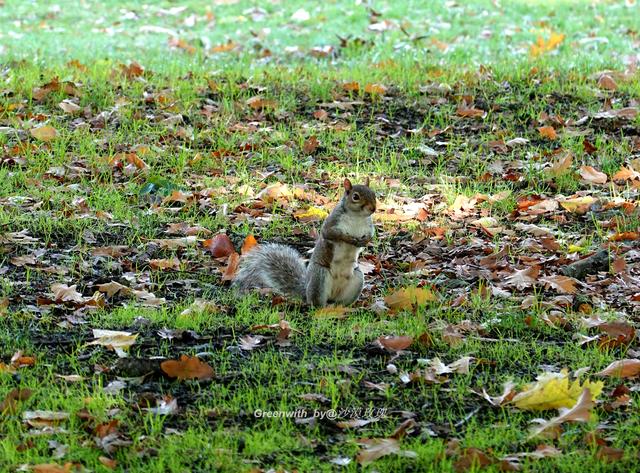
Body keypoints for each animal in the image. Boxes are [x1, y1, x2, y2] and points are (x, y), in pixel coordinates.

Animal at [234, 177, 376, 306]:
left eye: (373, 194)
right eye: (355, 197)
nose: (373, 209)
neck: (356, 217)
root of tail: (306, 291)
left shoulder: (369, 226)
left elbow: (370, 236)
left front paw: (365, 241)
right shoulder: (332, 223)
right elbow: (332, 234)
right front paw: (350, 239)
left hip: (357, 278)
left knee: (340, 302)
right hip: (319, 276)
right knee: (316, 303)